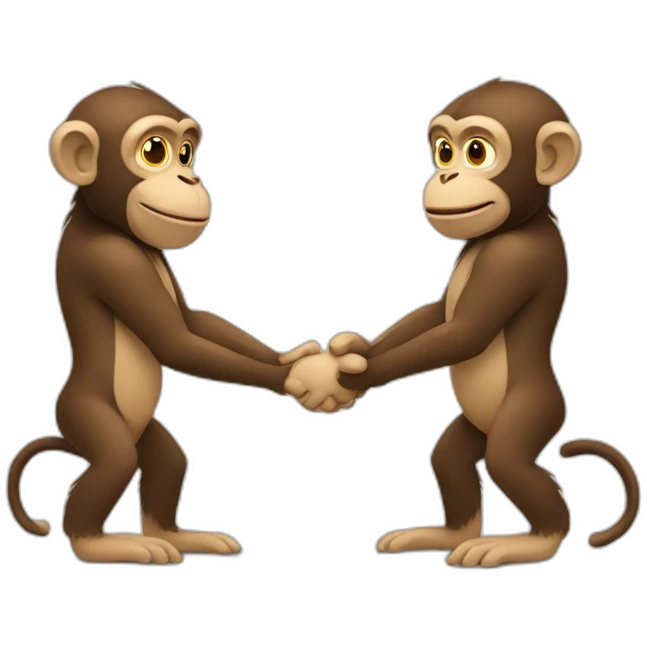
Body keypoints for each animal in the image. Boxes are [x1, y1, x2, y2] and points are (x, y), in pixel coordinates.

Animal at [7, 82, 325, 565]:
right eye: (154, 151)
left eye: (187, 153)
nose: (188, 178)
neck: (102, 217)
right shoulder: (113, 260)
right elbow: (174, 340)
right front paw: (296, 377)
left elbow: (192, 321)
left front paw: (295, 358)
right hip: (85, 413)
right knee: (116, 459)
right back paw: (100, 544)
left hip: (144, 428)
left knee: (169, 461)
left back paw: (177, 536)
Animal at [328, 79, 640, 568]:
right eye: (443, 151)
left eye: (477, 152)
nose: (446, 176)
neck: (506, 228)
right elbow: (438, 313)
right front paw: (354, 350)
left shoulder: (515, 259)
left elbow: (464, 332)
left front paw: (353, 374)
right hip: (473, 425)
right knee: (449, 459)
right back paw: (447, 534)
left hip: (533, 410)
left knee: (507, 461)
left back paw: (527, 542)